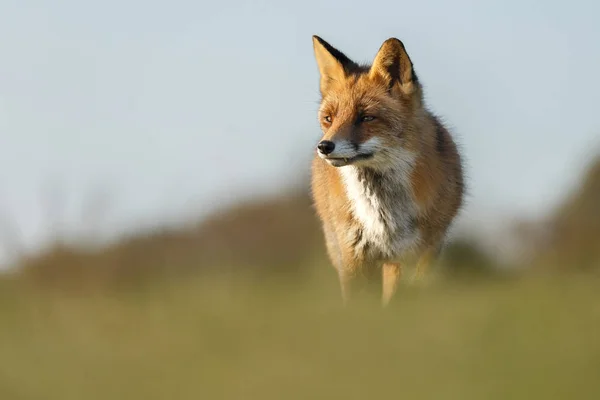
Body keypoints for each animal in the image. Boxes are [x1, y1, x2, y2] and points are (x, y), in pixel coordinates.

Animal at [310, 36, 464, 306]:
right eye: (329, 118)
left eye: (366, 117)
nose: (324, 147)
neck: (383, 214)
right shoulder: (354, 255)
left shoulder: (418, 254)